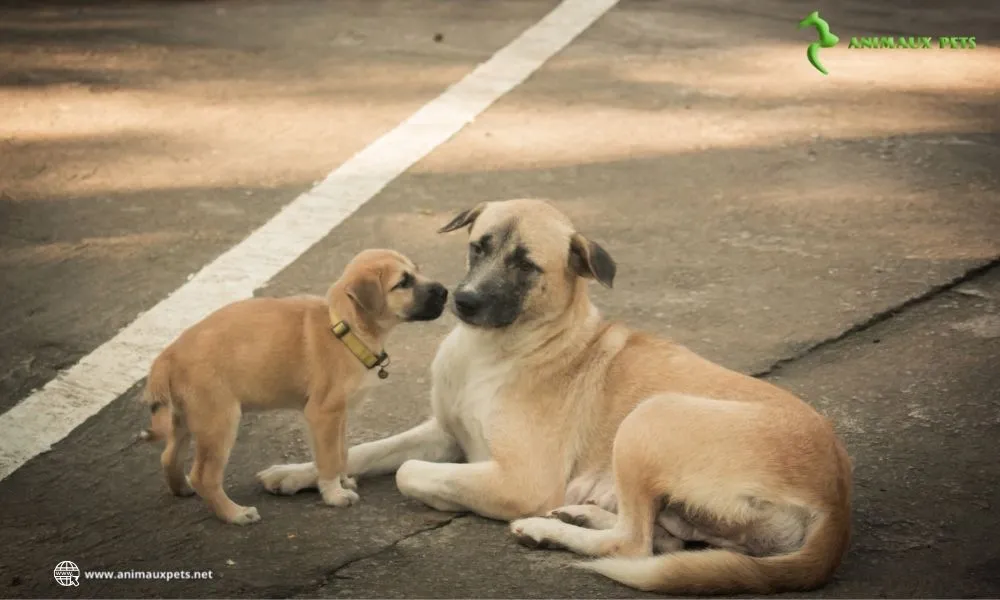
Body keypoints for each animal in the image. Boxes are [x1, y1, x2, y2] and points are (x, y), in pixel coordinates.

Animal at [140, 248, 450, 524]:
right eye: (403, 282)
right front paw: (334, 495)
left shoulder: (339, 415)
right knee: (204, 476)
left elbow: (341, 453)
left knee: (168, 456)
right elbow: (328, 459)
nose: (446, 291)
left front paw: (343, 481)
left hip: (185, 418)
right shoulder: (322, 414)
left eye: (417, 270)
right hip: (219, 421)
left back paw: (182, 489)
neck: (344, 328)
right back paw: (235, 514)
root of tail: (167, 356)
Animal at [260, 199, 852, 592]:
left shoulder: (520, 478)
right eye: (478, 247)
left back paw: (548, 528)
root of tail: (836, 501)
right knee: (660, 540)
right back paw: (577, 515)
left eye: (526, 265)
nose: (461, 301)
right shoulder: (444, 431)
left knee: (633, 545)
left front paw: (439, 497)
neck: (498, 349)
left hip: (648, 419)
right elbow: (361, 450)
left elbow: (408, 473)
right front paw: (299, 473)